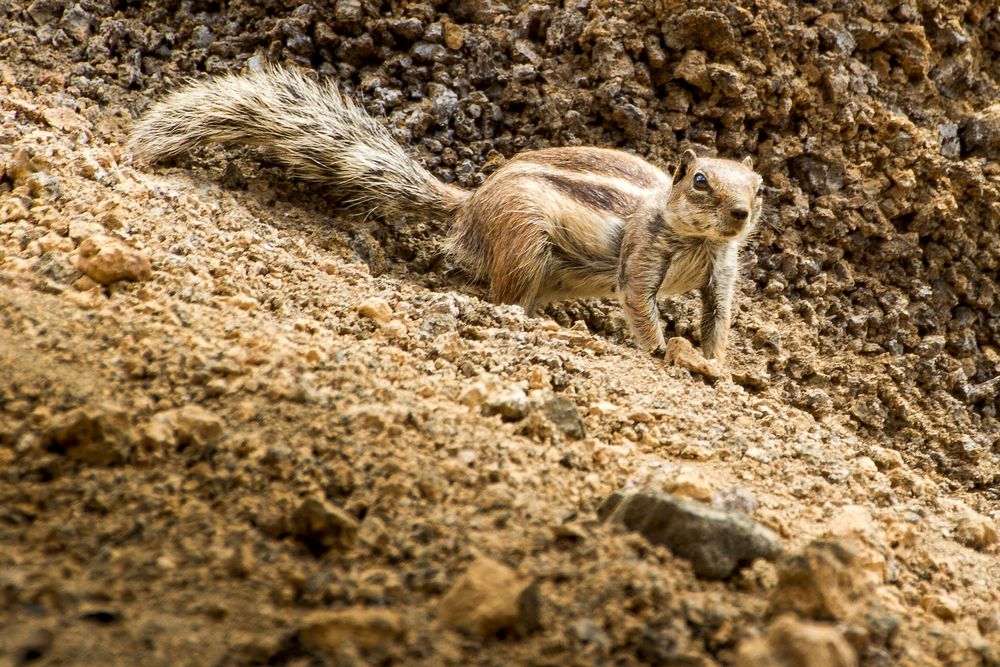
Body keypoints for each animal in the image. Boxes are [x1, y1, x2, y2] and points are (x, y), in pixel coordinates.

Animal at [129, 65, 760, 362]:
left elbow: (718, 317)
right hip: (524, 240)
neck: (698, 239)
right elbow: (640, 304)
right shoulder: (642, 255)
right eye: (700, 181)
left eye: (759, 187)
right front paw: (661, 352)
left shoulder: (722, 272)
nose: (739, 214)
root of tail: (472, 203)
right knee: (506, 296)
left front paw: (717, 364)